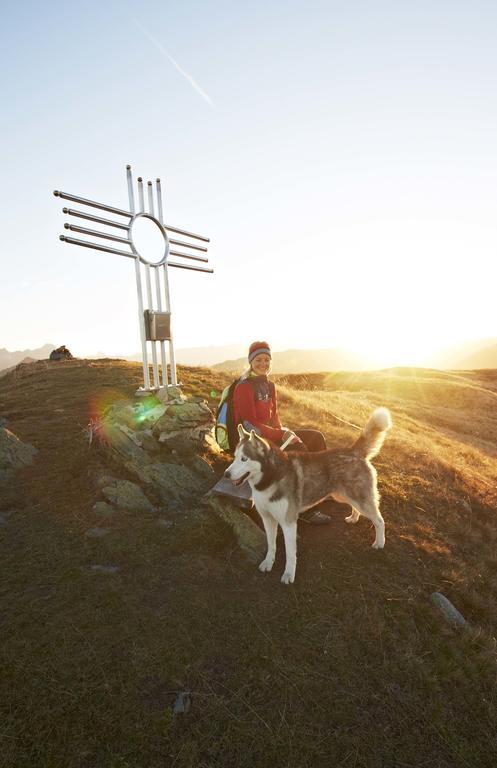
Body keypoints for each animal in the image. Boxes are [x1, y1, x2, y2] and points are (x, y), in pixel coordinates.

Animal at [224, 412, 392, 584]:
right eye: (235, 457)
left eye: (244, 459)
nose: (226, 474)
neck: (270, 478)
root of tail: (353, 451)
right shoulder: (268, 518)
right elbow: (271, 544)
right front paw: (268, 563)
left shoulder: (289, 522)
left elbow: (290, 553)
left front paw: (289, 575)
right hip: (343, 495)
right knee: (356, 507)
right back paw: (353, 517)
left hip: (359, 498)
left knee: (379, 520)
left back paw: (379, 542)